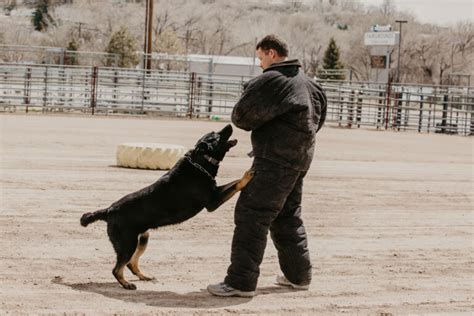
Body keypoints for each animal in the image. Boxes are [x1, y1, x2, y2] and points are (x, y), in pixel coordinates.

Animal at [79, 124, 254, 290]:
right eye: (217, 136)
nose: (229, 125)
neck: (199, 162)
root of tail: (109, 210)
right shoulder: (213, 201)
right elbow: (235, 183)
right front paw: (246, 176)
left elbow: (232, 183)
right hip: (128, 243)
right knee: (117, 268)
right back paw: (126, 284)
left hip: (142, 238)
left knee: (130, 263)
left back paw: (143, 276)